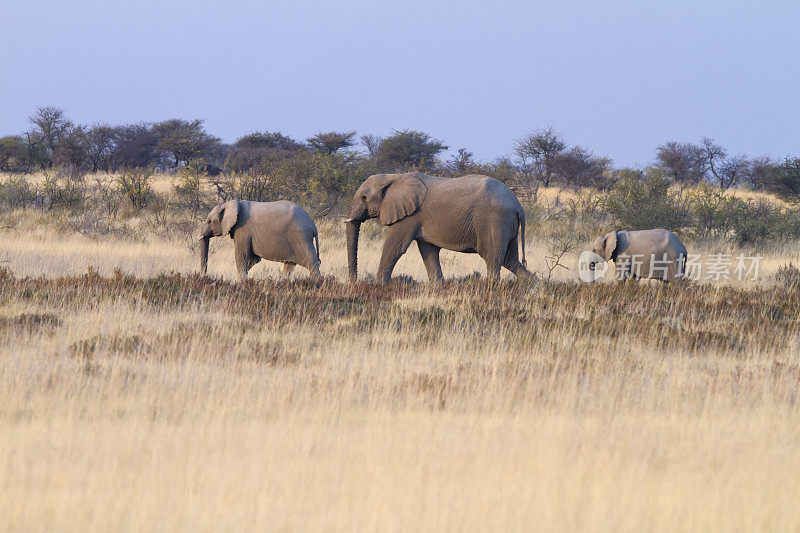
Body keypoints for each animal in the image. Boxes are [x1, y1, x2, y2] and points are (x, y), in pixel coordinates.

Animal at [342, 172, 532, 284]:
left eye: (364, 197)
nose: (354, 283)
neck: (393, 176)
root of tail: (517, 205)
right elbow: (429, 250)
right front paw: (438, 287)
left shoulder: (410, 216)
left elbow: (394, 247)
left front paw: (378, 286)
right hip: (505, 224)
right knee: (510, 259)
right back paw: (534, 285)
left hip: (494, 221)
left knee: (493, 258)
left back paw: (491, 289)